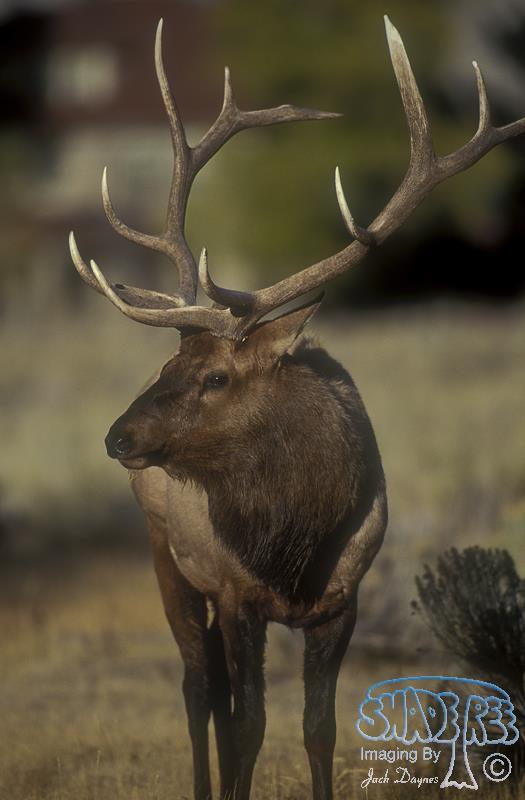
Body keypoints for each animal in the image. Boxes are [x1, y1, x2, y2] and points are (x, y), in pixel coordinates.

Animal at [68, 15, 525, 800]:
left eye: (215, 377)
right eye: (166, 366)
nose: (117, 438)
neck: (293, 543)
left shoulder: (343, 599)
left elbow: (318, 729)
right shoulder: (236, 592)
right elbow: (247, 725)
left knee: (214, 693)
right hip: (167, 557)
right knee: (198, 689)